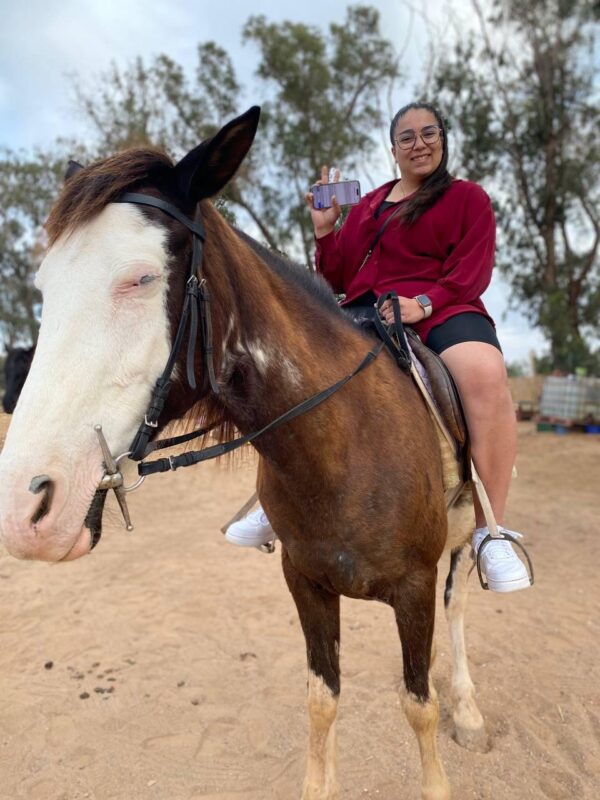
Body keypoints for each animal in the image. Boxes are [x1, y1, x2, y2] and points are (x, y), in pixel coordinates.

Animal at [0, 108, 490, 800]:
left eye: (140, 278)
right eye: (45, 286)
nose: (25, 511)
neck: (344, 447)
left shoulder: (415, 588)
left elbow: (418, 703)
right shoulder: (306, 583)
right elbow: (321, 699)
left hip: (462, 535)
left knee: (460, 606)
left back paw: (468, 709)